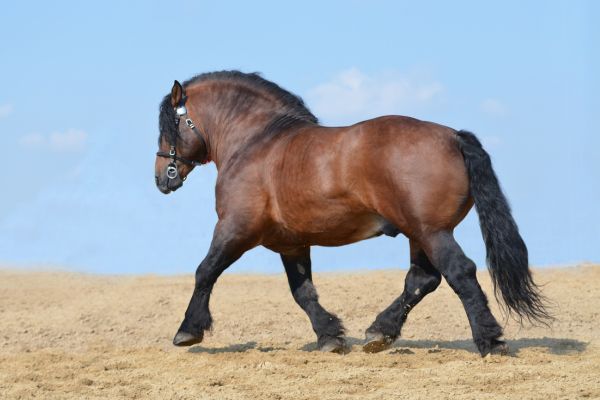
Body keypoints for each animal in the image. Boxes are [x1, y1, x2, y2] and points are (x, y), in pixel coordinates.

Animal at [154, 69, 548, 356]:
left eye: (166, 125)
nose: (162, 178)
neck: (257, 143)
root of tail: (453, 137)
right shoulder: (291, 244)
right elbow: (303, 292)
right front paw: (330, 336)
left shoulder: (236, 228)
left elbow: (205, 271)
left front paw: (188, 330)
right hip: (419, 233)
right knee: (422, 280)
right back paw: (380, 332)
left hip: (432, 231)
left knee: (459, 272)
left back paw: (490, 341)